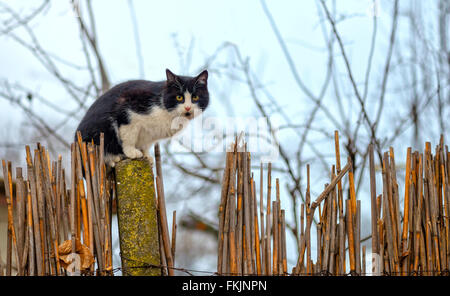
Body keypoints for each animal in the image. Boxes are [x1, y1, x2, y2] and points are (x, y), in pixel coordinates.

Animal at [75, 68, 209, 168]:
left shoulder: (150, 134)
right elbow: (128, 135)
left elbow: (145, 144)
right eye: (179, 97)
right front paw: (131, 152)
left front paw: (147, 156)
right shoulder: (127, 106)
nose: (187, 107)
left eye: (195, 97)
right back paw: (114, 158)